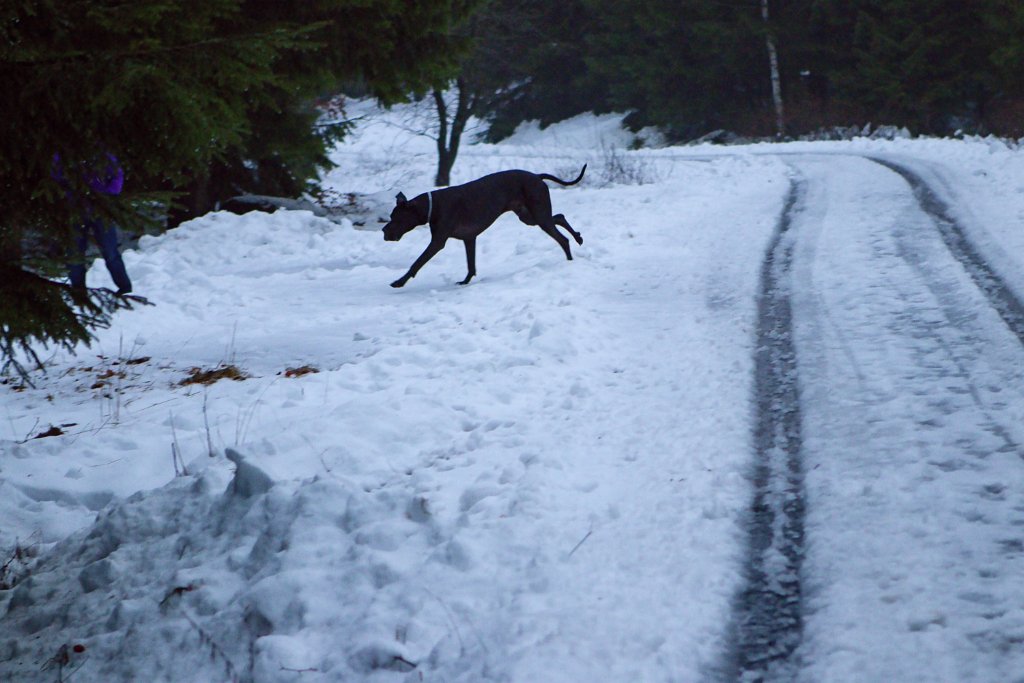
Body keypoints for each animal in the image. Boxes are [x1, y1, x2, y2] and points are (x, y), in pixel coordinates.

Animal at [380, 165, 585, 288]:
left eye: (395, 218)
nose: (384, 231)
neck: (431, 206)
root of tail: (537, 176)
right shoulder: (469, 238)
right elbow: (471, 265)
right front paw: (465, 281)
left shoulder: (438, 242)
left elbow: (417, 262)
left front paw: (399, 281)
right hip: (530, 216)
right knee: (559, 217)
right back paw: (578, 238)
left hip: (538, 215)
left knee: (562, 238)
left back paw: (569, 259)